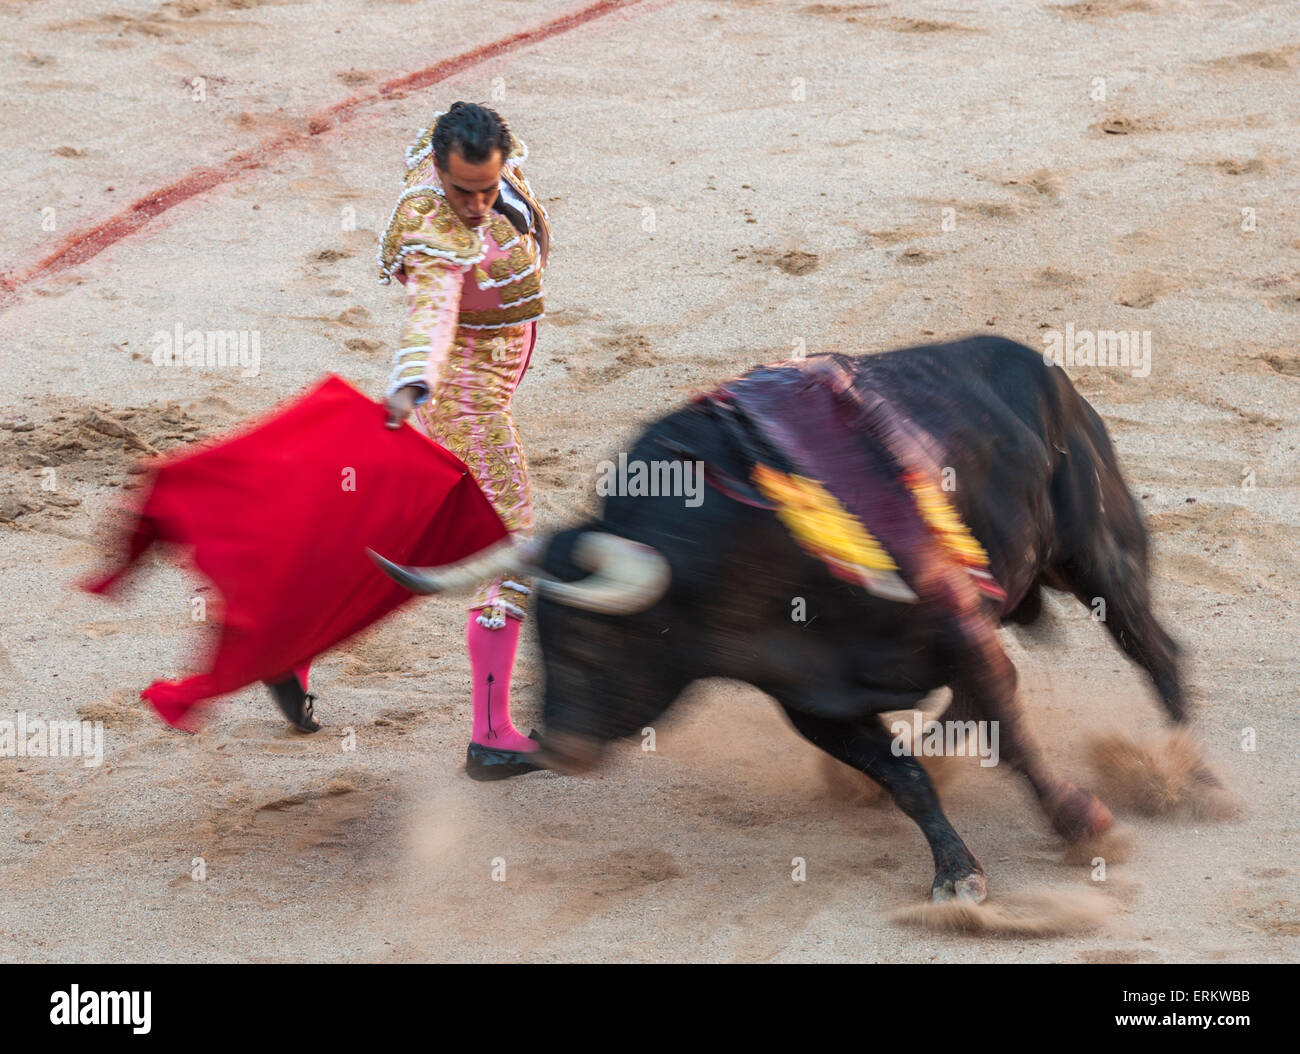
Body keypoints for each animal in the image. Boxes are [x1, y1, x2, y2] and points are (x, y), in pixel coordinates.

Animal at [369, 332, 1190, 904]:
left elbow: (1012, 732)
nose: (558, 748)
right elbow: (906, 777)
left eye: (596, 643)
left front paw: (1082, 823)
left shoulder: (961, 633)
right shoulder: (810, 698)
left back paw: (1184, 769)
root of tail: (1045, 370)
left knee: (1154, 646)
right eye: (542, 641)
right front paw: (955, 869)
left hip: (1098, 552)